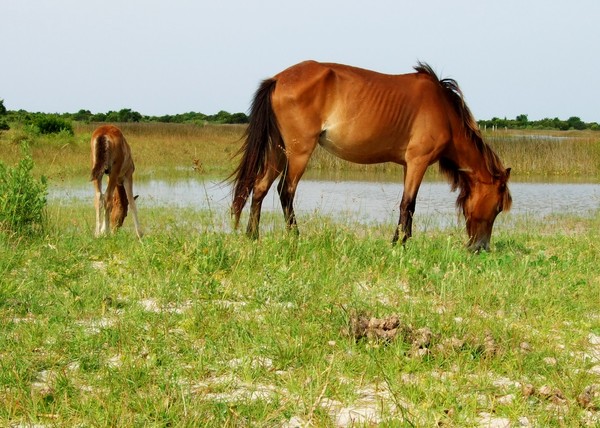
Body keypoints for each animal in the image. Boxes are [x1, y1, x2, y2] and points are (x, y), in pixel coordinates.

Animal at [232, 60, 512, 251]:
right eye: (498, 207)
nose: (481, 248)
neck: (443, 110)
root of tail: (278, 79)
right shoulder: (418, 161)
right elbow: (408, 204)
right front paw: (400, 243)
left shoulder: (408, 165)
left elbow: (406, 204)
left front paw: (402, 240)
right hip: (299, 152)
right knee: (285, 191)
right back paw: (295, 236)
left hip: (278, 151)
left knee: (260, 187)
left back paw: (252, 236)